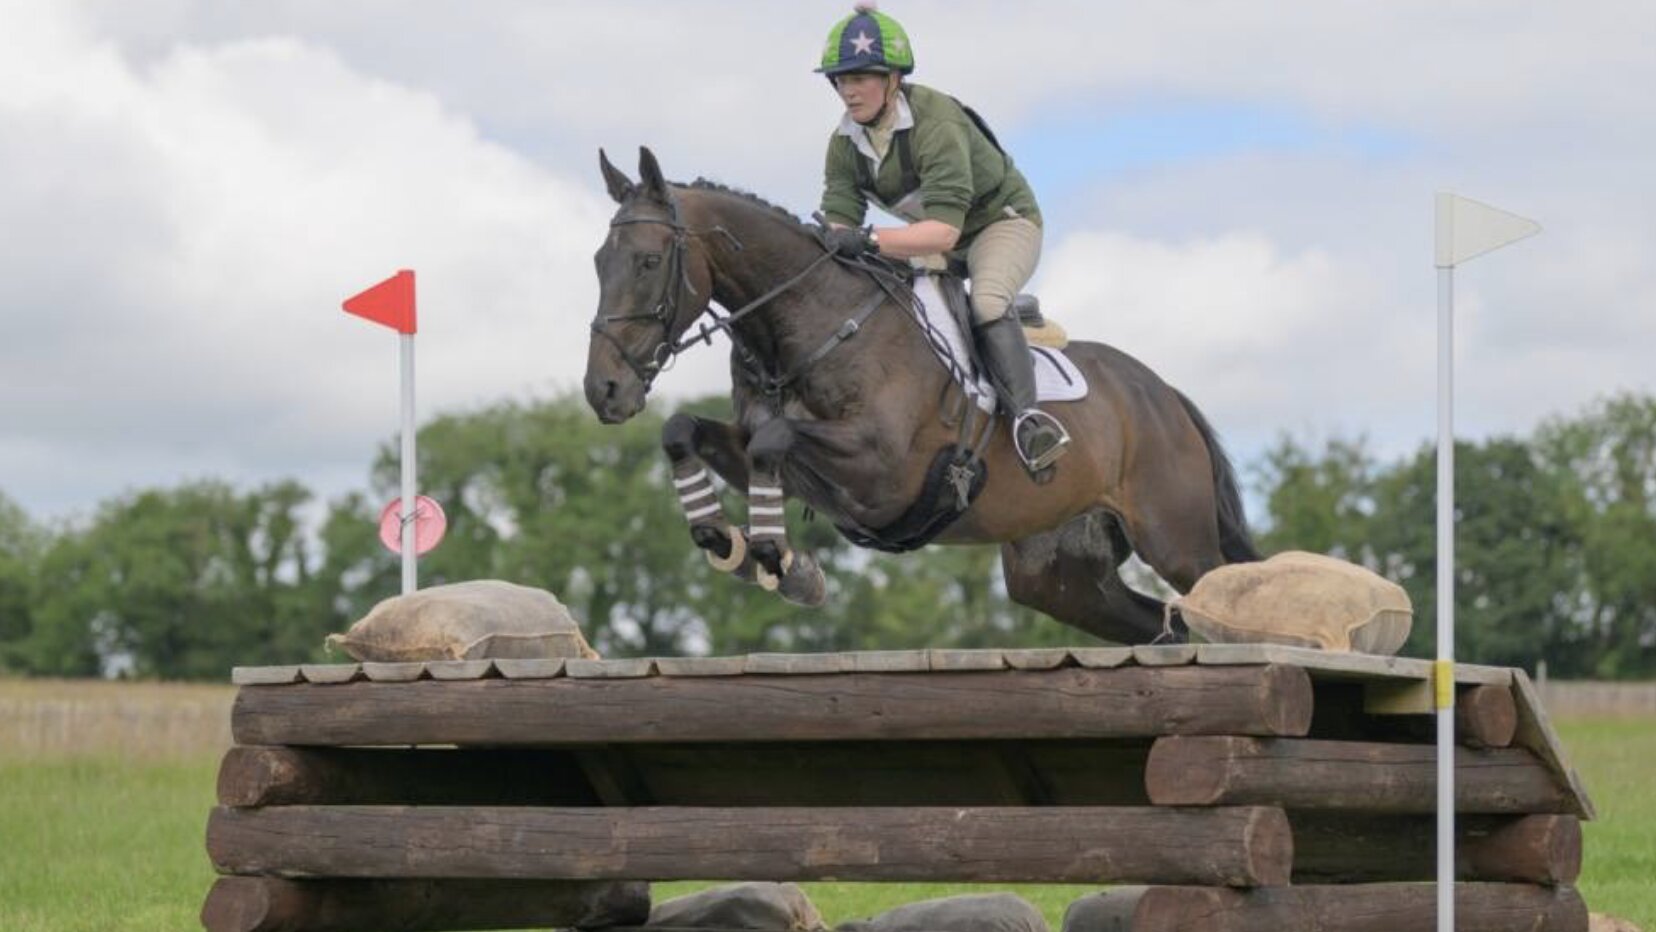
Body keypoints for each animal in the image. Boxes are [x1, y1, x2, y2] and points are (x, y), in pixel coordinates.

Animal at [583, 147, 1258, 645]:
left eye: (648, 262)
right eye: (597, 262)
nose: (603, 391)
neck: (807, 323)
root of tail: (1165, 396)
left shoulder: (882, 471)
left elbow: (773, 440)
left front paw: (780, 560)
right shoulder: (769, 454)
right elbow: (685, 431)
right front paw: (735, 545)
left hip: (1176, 540)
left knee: (1218, 600)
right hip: (1058, 574)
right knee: (1162, 627)